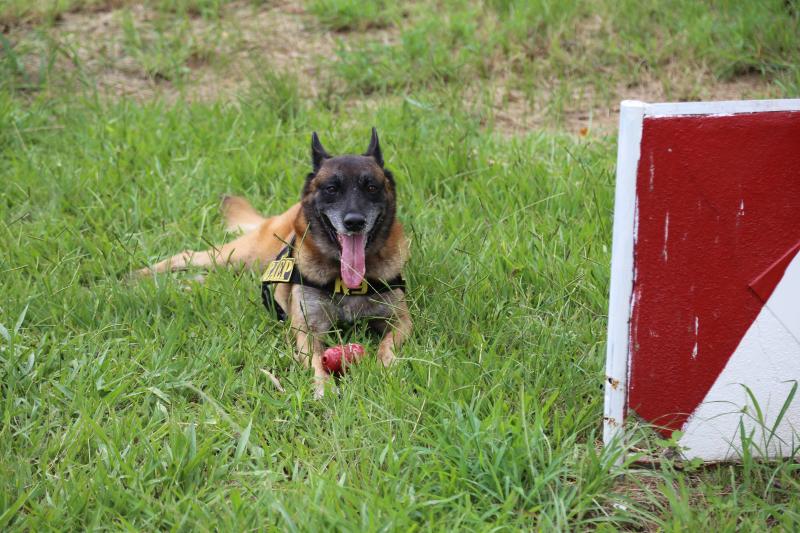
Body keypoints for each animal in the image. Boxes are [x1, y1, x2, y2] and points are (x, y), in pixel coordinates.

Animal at [137, 128, 410, 394]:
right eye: (332, 189)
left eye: (371, 187)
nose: (354, 222)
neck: (344, 280)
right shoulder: (307, 331)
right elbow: (315, 360)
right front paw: (324, 387)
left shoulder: (401, 321)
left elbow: (387, 344)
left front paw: (386, 366)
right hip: (237, 255)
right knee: (187, 255)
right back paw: (139, 277)